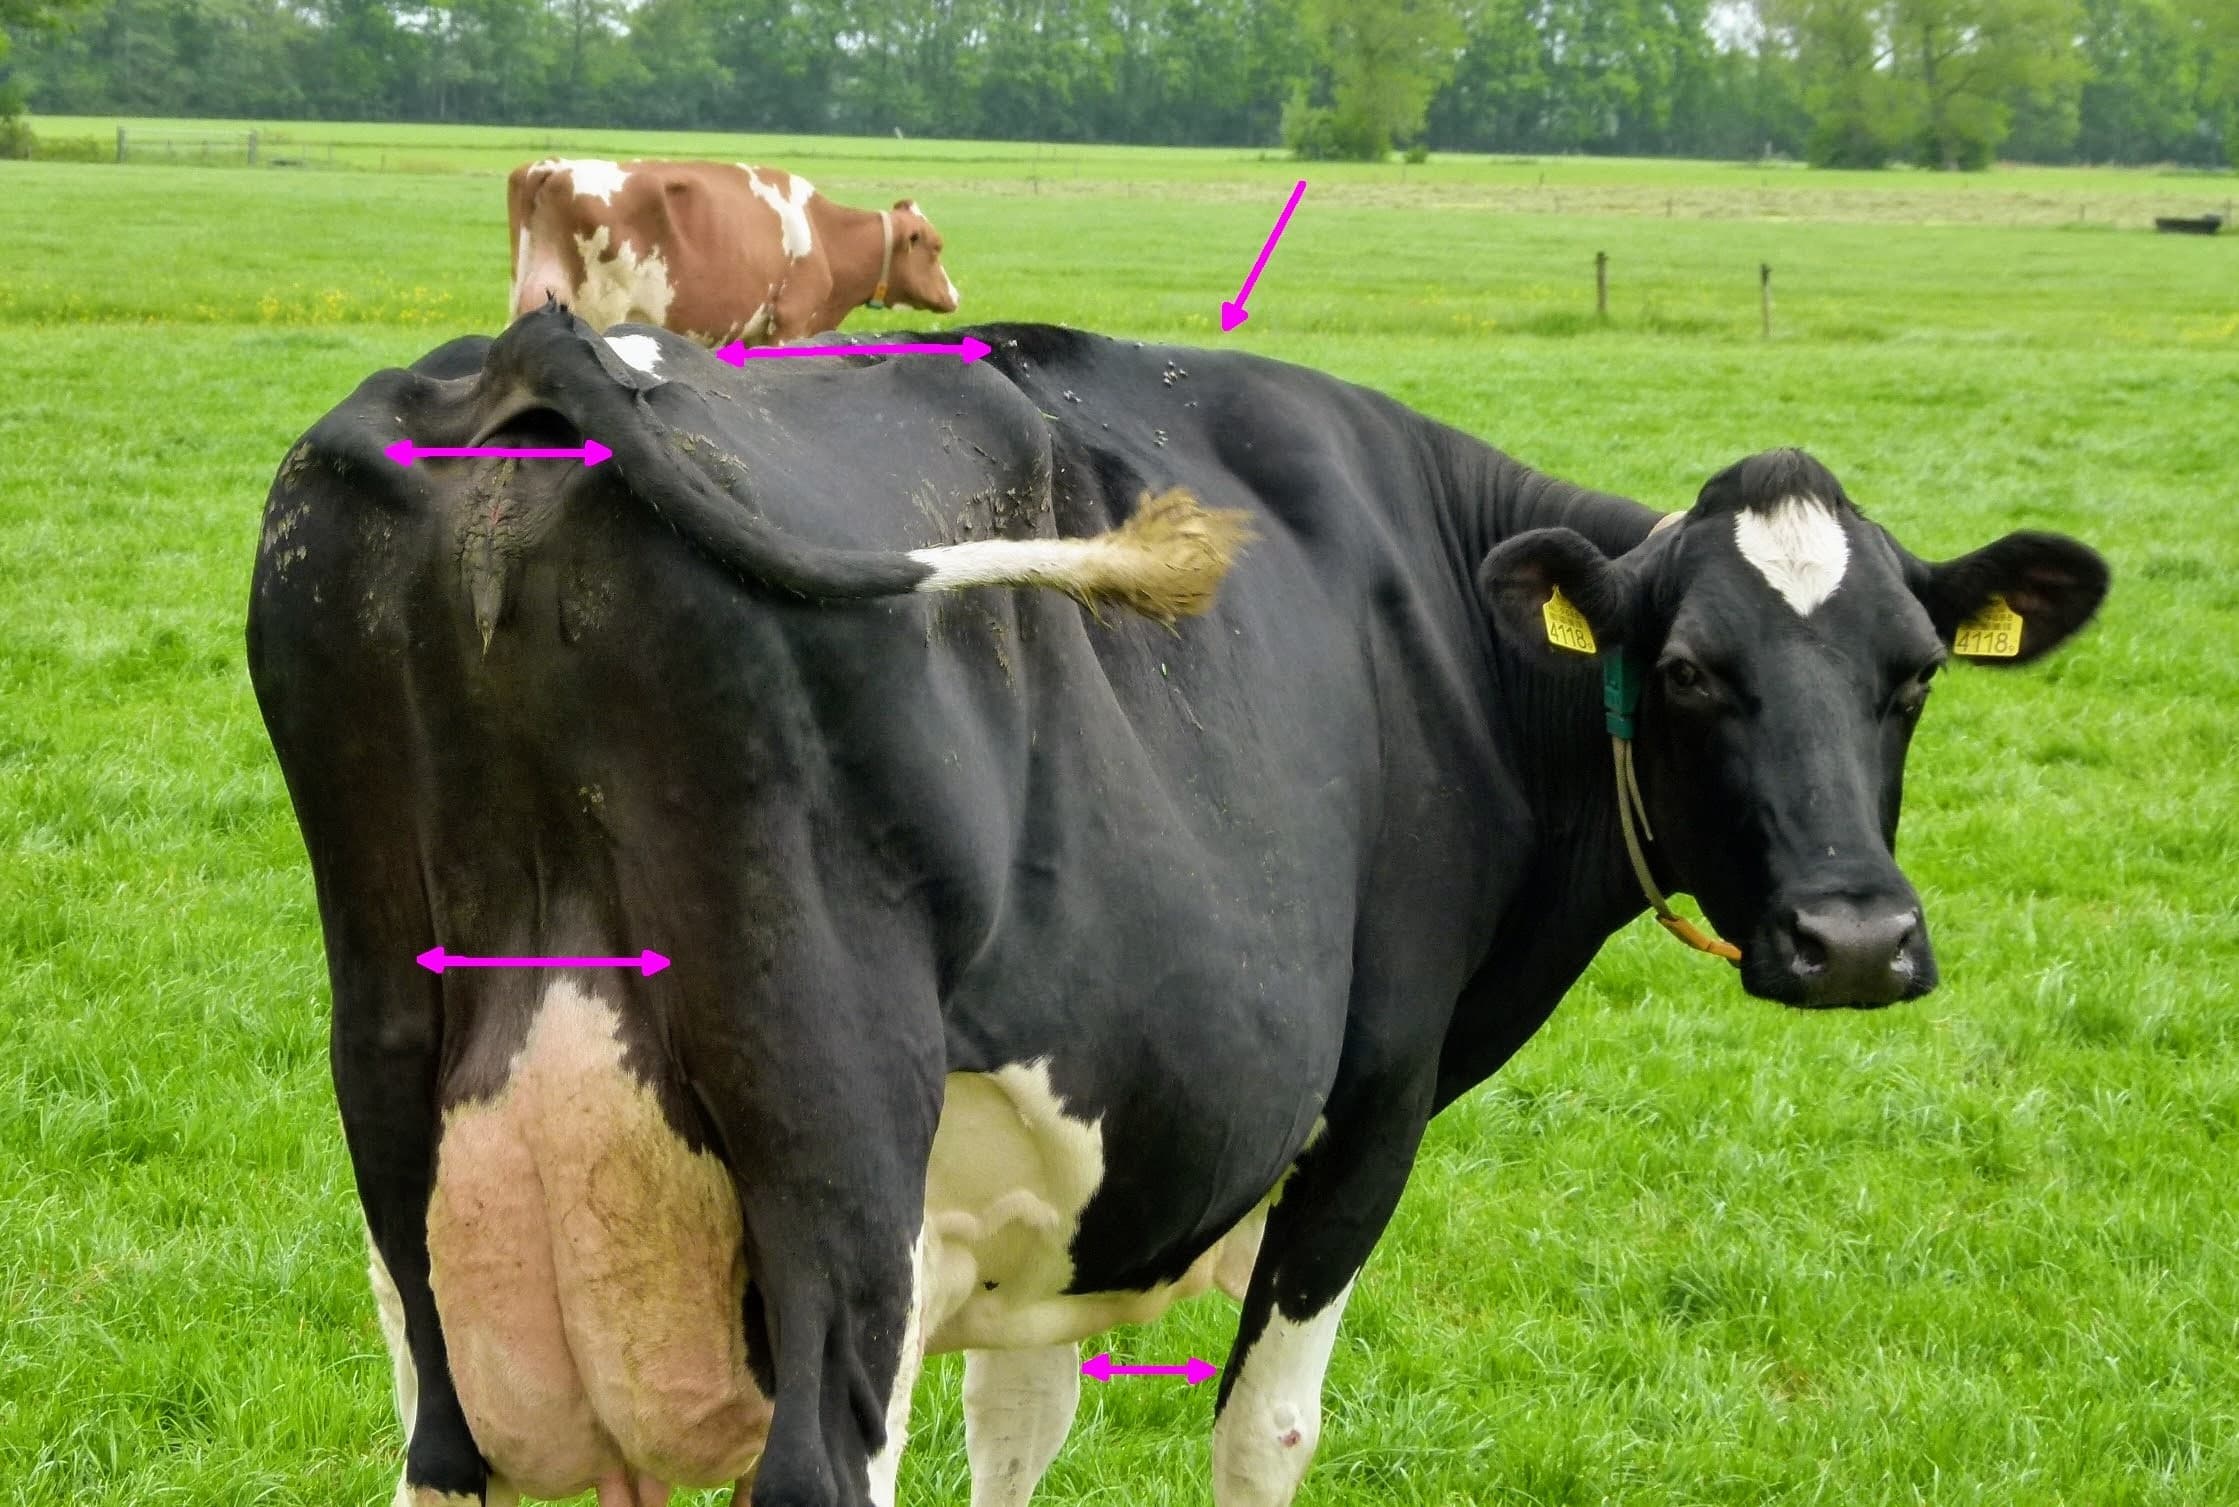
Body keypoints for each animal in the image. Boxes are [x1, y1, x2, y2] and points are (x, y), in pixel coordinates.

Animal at [247, 308, 2108, 1507]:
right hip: (833, 1139)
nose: (1853, 940)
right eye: (1692, 671)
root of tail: (544, 343)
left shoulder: (1037, 1193)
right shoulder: (1370, 1108)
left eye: (1911, 674)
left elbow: (1016, 1428)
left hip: (405, 1122)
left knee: (440, 1446)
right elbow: (1260, 1430)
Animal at [506, 158, 961, 346]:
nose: (954, 296)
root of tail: (554, 167)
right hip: (601, 311)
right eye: (936, 247)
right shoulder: (790, 324)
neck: (824, 234)